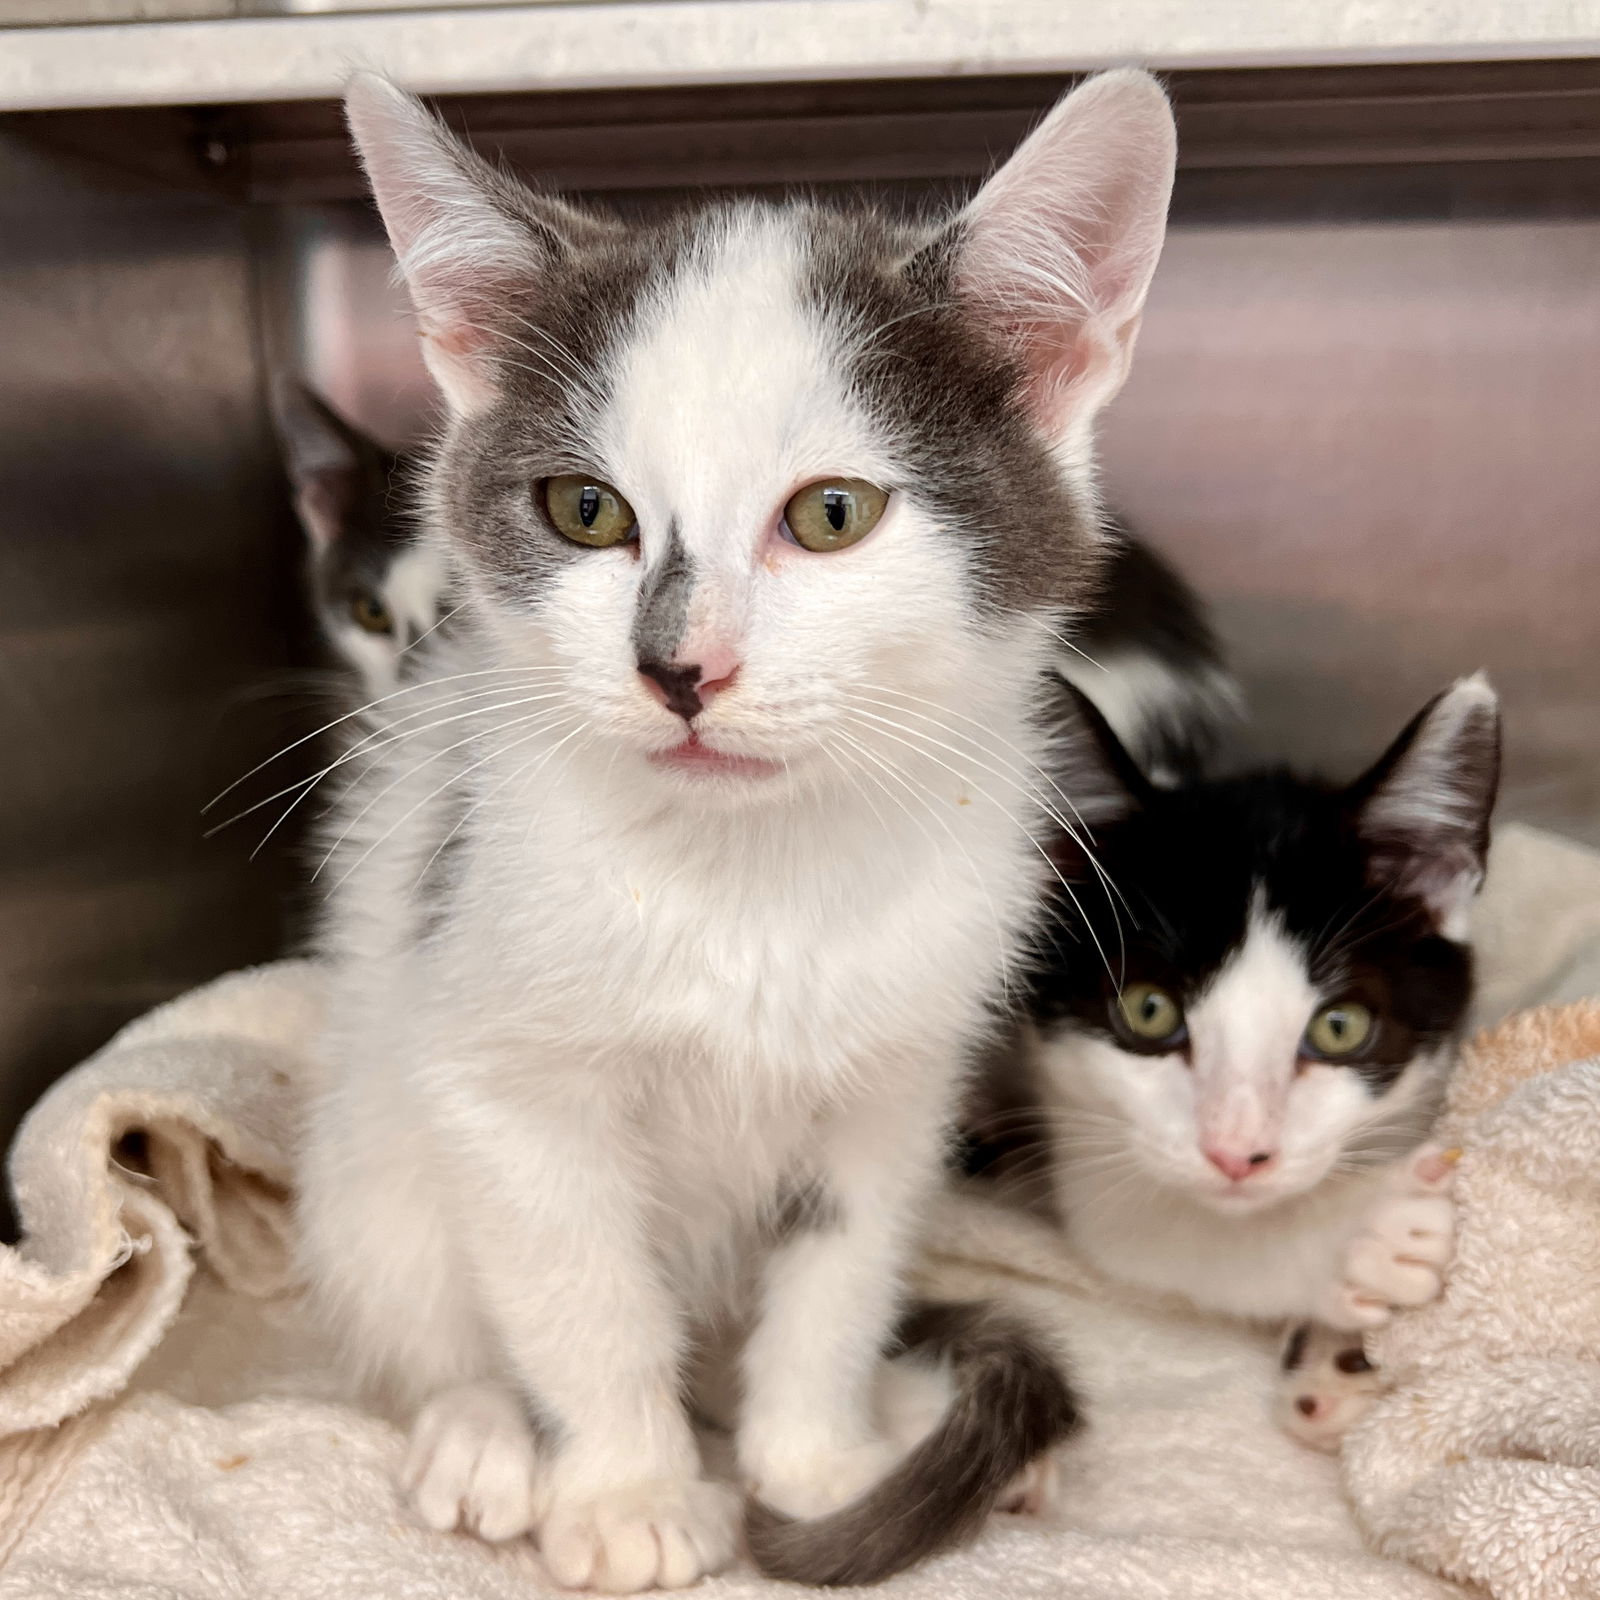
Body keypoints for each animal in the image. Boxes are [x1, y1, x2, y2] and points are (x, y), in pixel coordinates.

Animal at [297, 65, 1177, 1587]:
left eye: (831, 514)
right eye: (584, 510)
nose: (679, 668)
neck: (747, 875)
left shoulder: (895, 1080)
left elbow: (836, 1273)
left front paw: (818, 1459)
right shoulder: (505, 1072)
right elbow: (579, 1292)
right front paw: (629, 1493)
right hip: (369, 1132)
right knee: (420, 1286)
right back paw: (477, 1430)